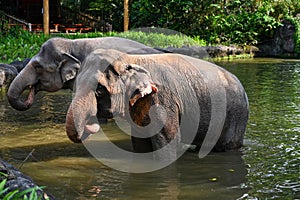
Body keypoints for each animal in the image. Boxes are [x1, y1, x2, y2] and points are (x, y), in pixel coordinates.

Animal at [67, 49, 250, 160]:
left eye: (99, 90)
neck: (129, 59)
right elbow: (140, 142)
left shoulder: (162, 98)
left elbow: (167, 140)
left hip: (236, 116)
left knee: (227, 146)